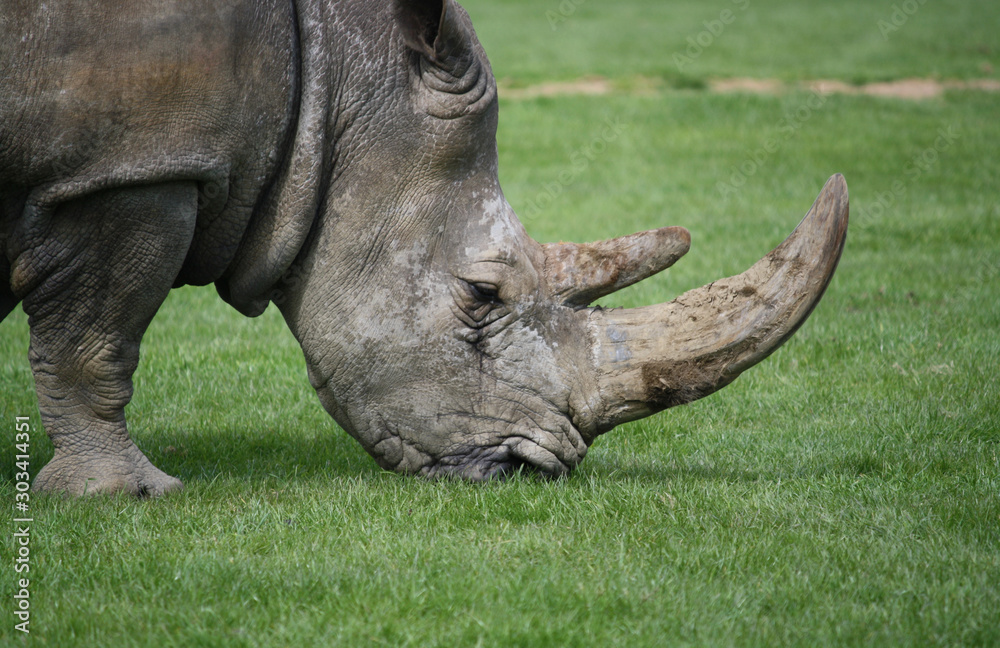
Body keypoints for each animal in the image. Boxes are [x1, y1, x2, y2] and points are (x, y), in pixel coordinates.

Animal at [0, 0, 848, 496]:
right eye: (482, 295)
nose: (530, 472)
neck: (333, 82)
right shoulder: (139, 166)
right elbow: (97, 338)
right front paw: (125, 494)